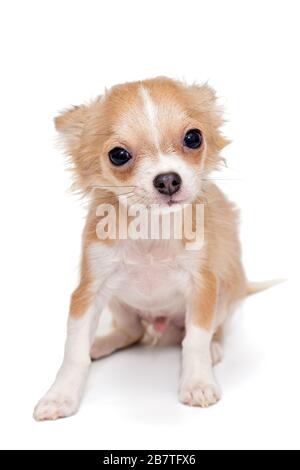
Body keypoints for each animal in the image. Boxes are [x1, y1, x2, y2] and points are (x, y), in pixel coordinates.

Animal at [34, 75, 260, 420]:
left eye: (193, 138)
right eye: (118, 155)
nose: (168, 180)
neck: (152, 229)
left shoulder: (204, 286)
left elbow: (195, 338)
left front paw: (197, 382)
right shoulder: (89, 291)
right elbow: (74, 351)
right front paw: (60, 396)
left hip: (227, 290)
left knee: (208, 329)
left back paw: (214, 347)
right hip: (119, 302)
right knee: (133, 333)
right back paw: (101, 343)